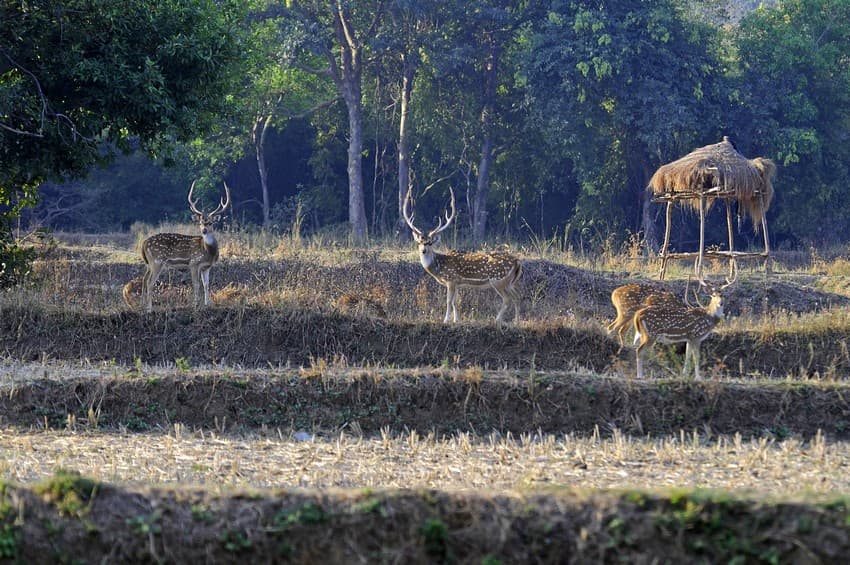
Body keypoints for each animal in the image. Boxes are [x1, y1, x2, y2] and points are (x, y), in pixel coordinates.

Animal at [141, 181, 230, 312]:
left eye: (210, 223)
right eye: (200, 223)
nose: (203, 230)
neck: (208, 252)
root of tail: (144, 243)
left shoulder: (206, 267)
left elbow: (206, 285)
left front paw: (207, 304)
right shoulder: (194, 263)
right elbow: (196, 284)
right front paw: (196, 305)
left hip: (148, 263)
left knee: (144, 279)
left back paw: (140, 305)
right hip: (157, 261)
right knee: (150, 282)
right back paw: (149, 309)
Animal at [400, 188, 520, 324]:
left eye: (430, 243)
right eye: (419, 242)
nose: (423, 251)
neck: (439, 267)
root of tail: (517, 262)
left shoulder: (451, 279)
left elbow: (448, 301)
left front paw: (446, 320)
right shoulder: (457, 283)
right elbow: (456, 302)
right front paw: (456, 320)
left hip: (498, 279)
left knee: (507, 299)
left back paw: (498, 320)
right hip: (510, 282)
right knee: (517, 296)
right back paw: (516, 322)